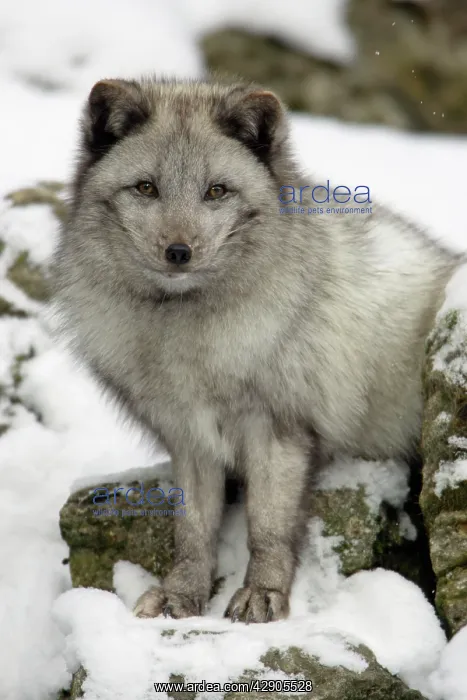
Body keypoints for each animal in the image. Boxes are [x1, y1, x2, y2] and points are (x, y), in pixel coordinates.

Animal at [54, 77, 459, 623]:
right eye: (146, 187)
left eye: (216, 191)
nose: (178, 252)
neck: (185, 334)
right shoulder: (189, 436)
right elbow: (192, 530)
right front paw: (181, 593)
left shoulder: (278, 427)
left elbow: (267, 525)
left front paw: (263, 593)